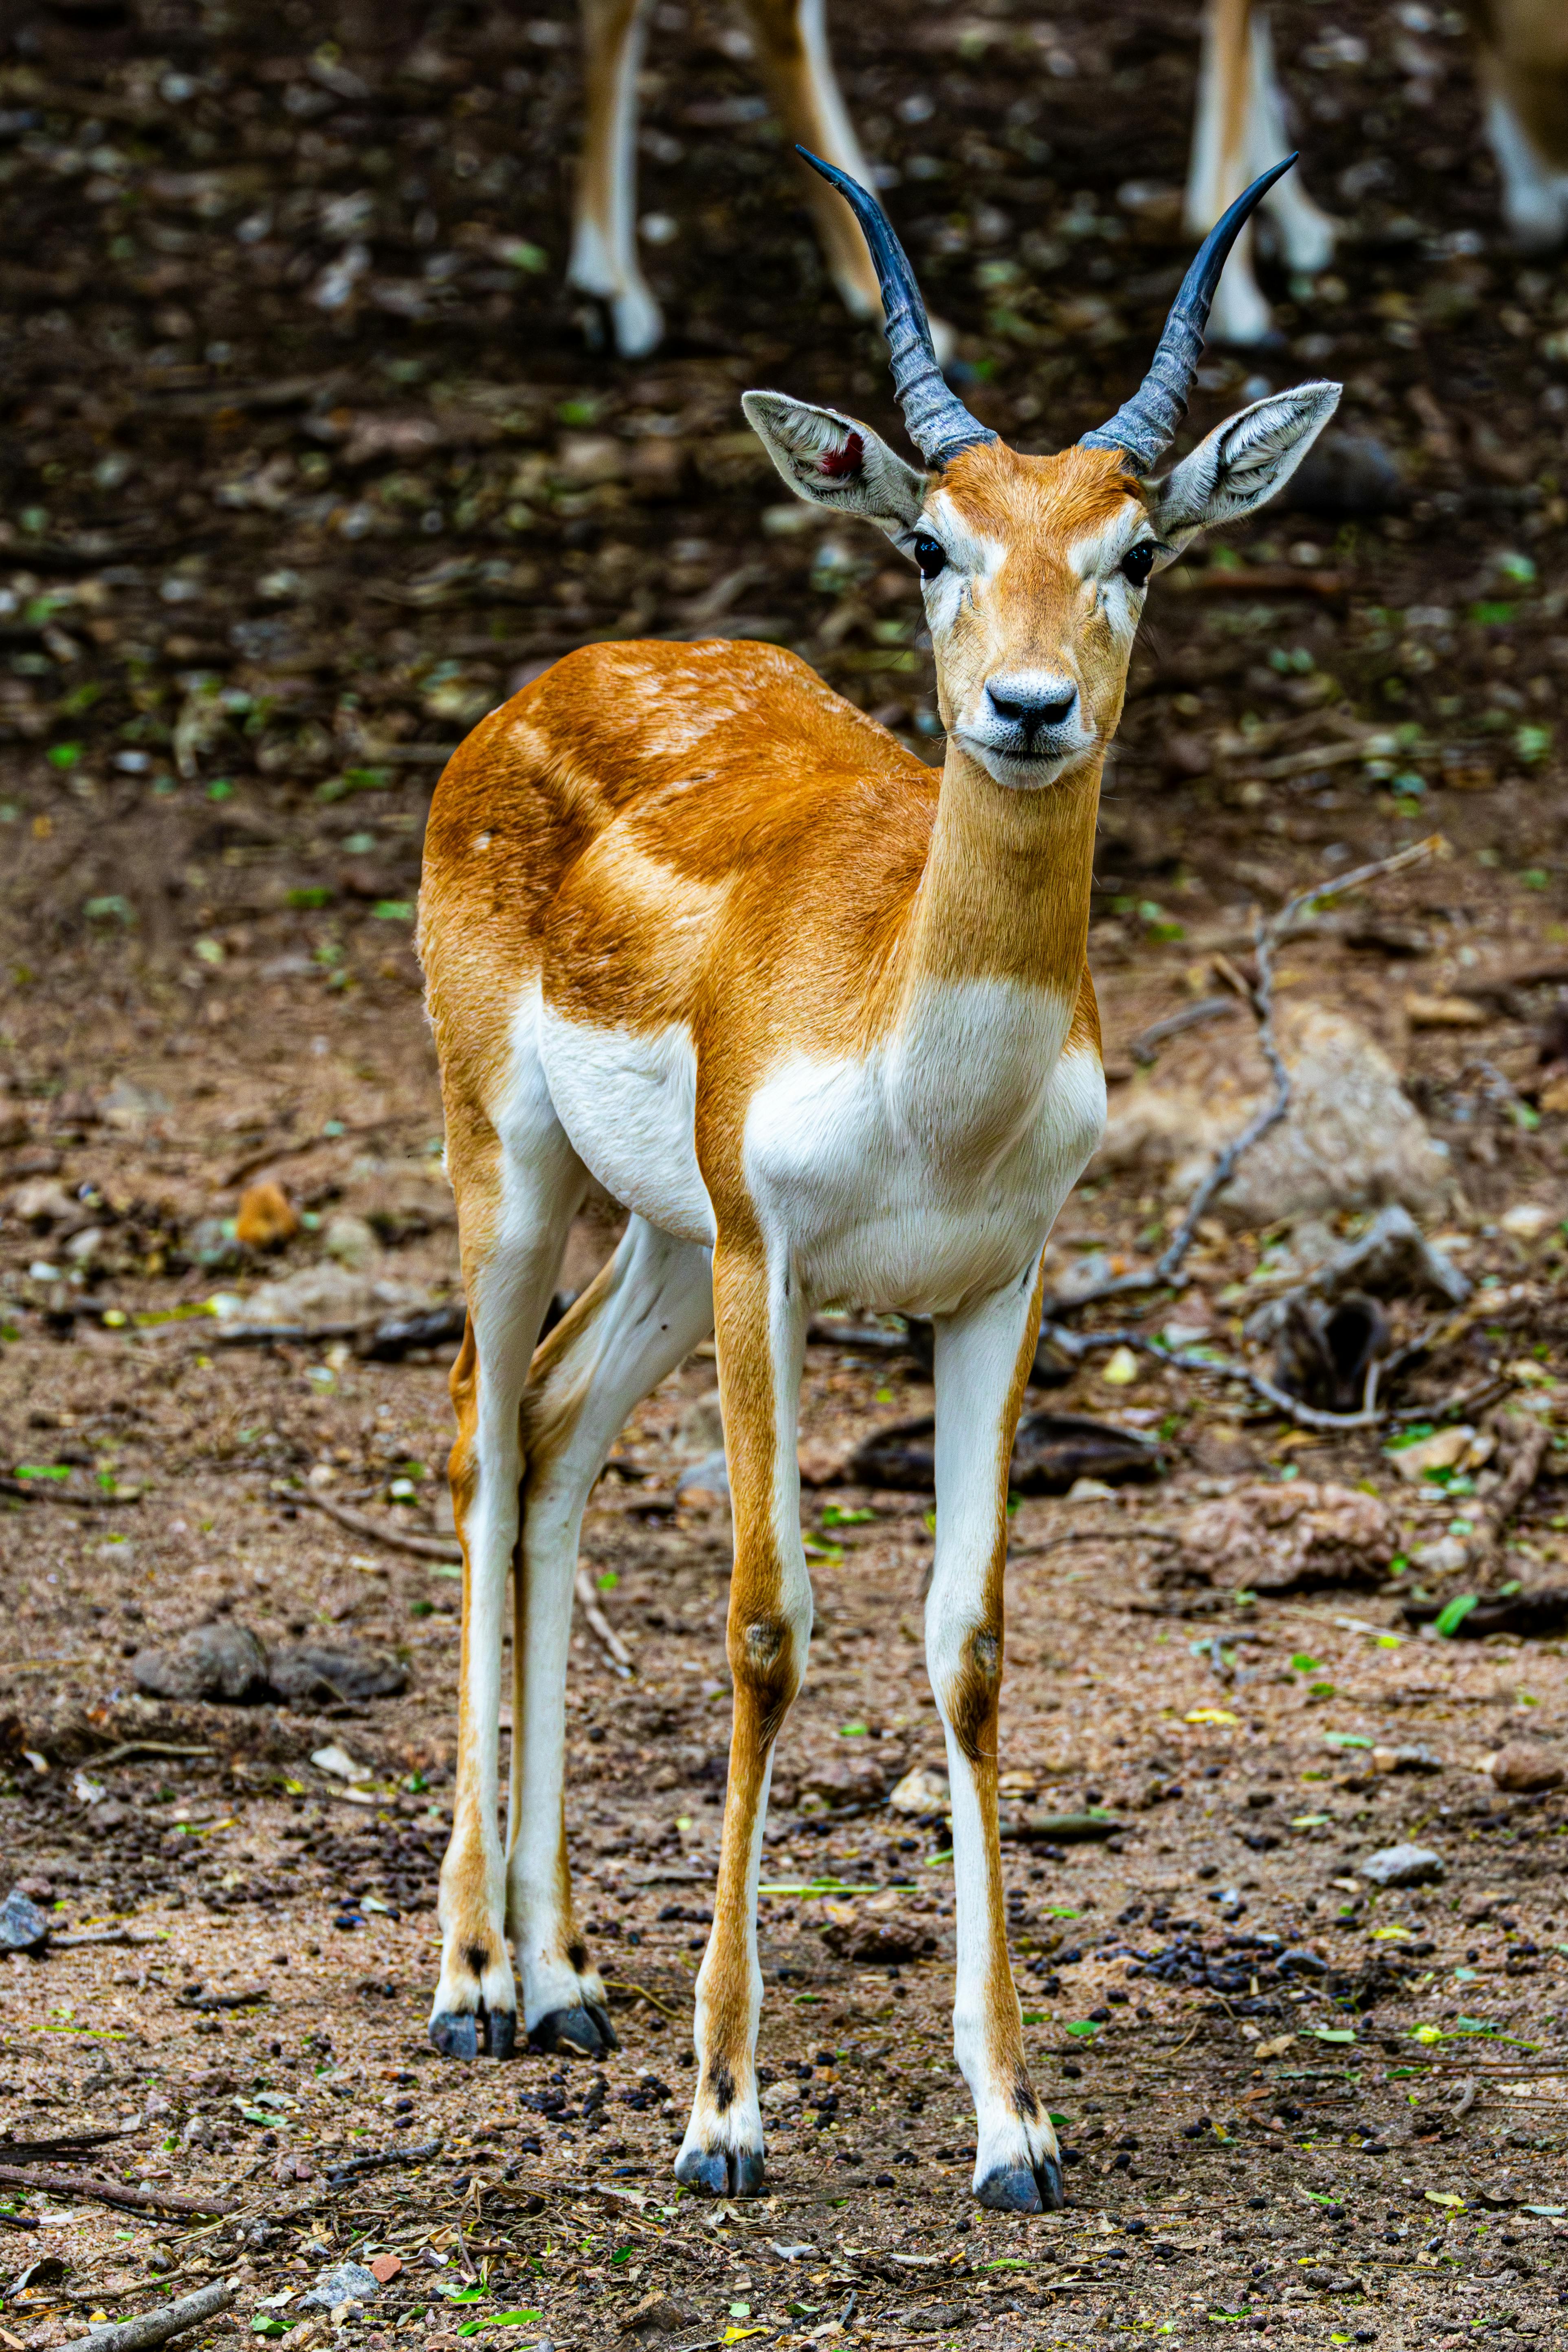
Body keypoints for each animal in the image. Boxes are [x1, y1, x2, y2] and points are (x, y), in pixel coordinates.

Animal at [417, 152, 1338, 2211]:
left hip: (656, 1246)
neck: (928, 1069)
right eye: (924, 541)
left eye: (1134, 552)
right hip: (511, 1164)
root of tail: (550, 678)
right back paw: (471, 1979)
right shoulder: (771, 1263)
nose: (1023, 708)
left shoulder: (997, 1286)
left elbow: (966, 1645)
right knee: (479, 1445)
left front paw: (1010, 2124)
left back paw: (567, 1976)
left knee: (554, 1440)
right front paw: (721, 2115)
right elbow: (765, 1629)